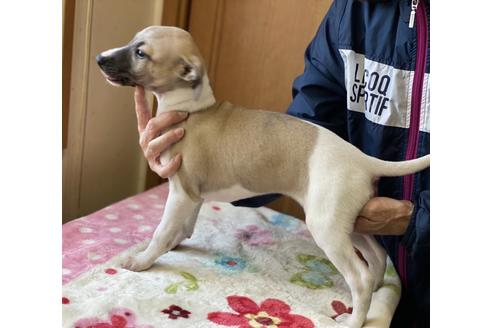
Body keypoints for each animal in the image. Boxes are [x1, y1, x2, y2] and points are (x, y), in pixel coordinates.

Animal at [95, 26, 426, 328]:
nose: (100, 58)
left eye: (141, 53)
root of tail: (361, 159)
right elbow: (183, 226)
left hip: (327, 226)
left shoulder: (181, 192)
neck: (192, 110)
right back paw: (377, 292)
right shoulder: (193, 196)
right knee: (378, 255)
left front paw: (142, 260)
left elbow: (162, 231)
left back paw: (354, 320)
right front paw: (175, 243)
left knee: (359, 275)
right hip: (350, 220)